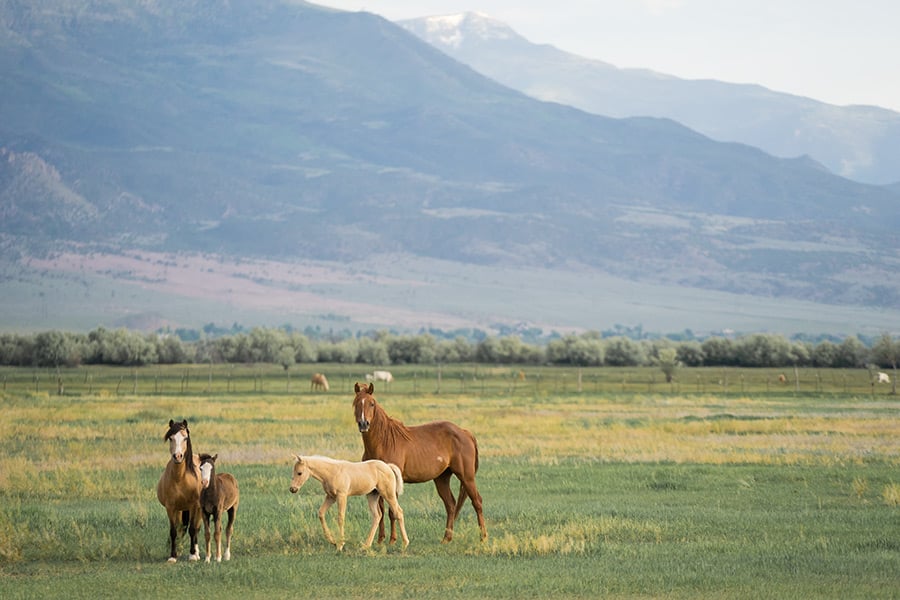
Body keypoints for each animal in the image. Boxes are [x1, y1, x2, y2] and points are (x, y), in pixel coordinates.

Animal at [156, 420, 202, 560]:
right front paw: (173, 556)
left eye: (185, 438)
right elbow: (173, 531)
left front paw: (192, 555)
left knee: (196, 528)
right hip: (179, 509)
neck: (180, 478)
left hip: (198, 509)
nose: (177, 456)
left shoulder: (193, 506)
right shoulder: (170, 507)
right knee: (181, 527)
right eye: (171, 438)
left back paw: (196, 553)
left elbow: (192, 529)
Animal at [350, 384, 486, 544]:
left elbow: (392, 511)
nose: (364, 424)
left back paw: (483, 538)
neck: (384, 442)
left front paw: (392, 540)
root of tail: (465, 432)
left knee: (477, 502)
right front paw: (380, 540)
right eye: (356, 404)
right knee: (451, 505)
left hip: (466, 477)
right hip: (442, 479)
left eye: (372, 403)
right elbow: (381, 511)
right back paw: (446, 539)